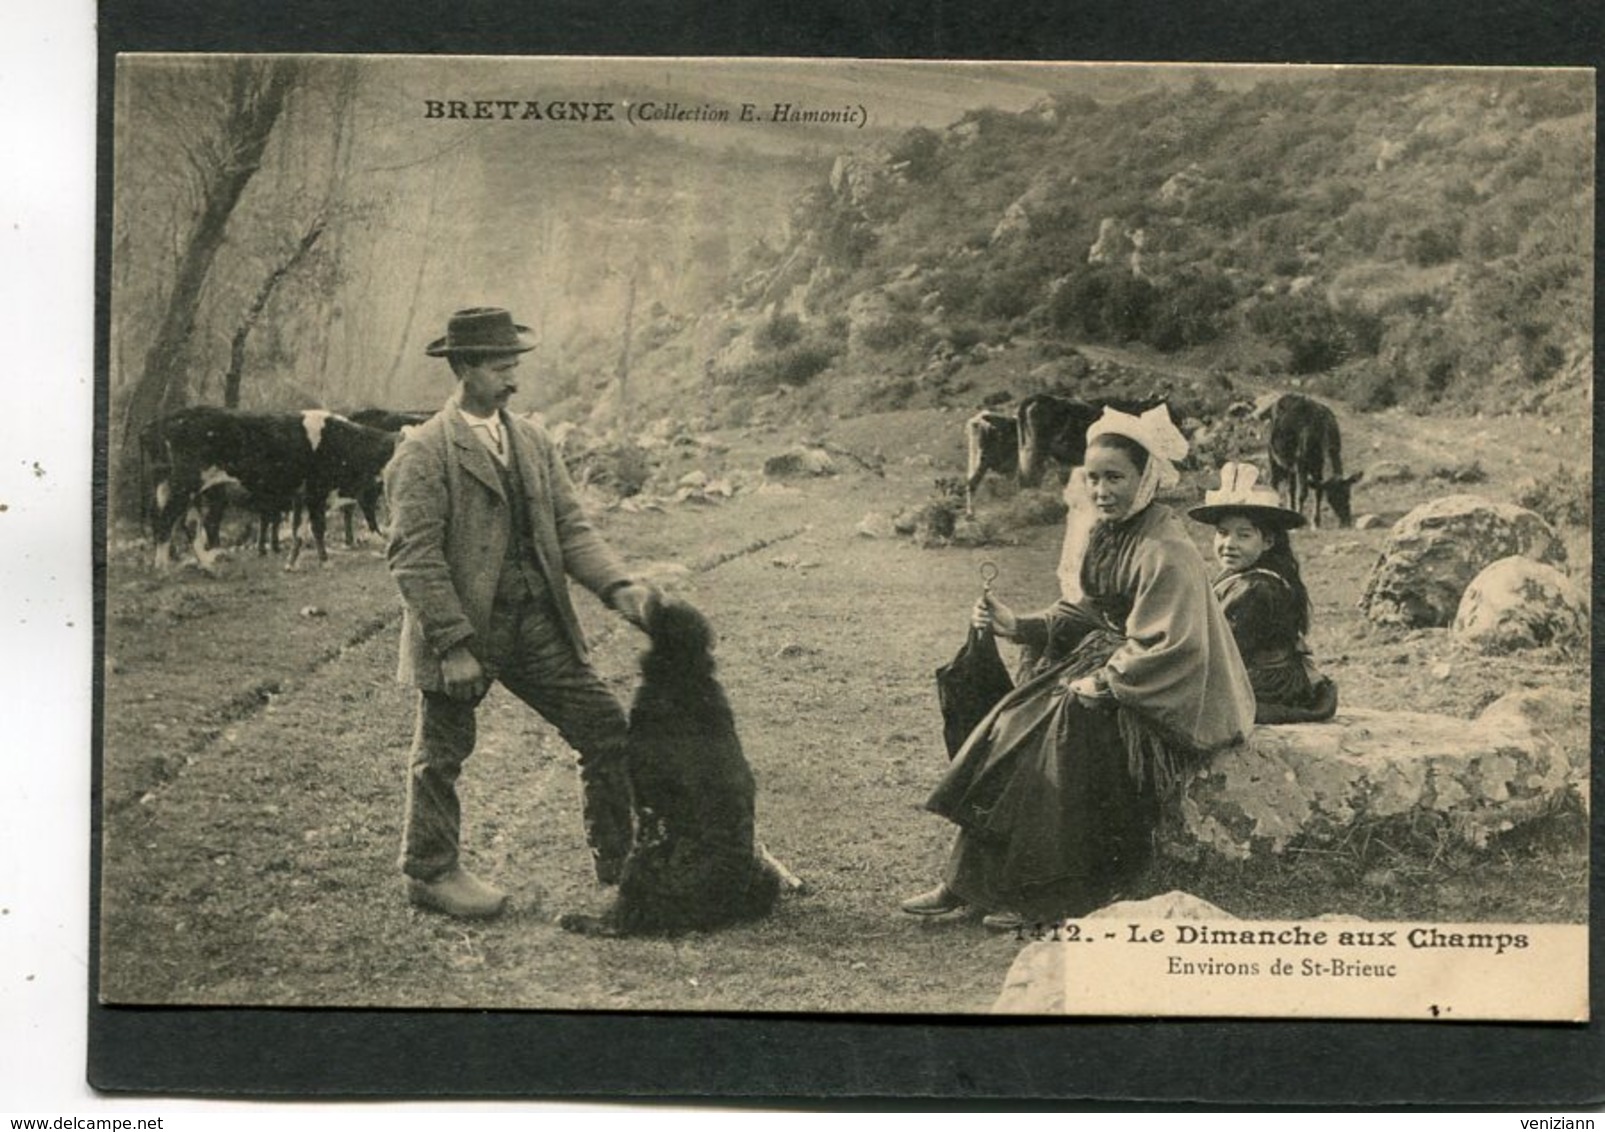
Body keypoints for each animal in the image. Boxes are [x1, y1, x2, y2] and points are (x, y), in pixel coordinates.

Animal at [561, 597, 799, 931]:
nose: (643, 598)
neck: (685, 675)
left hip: (642, 859)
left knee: (621, 919)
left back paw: (577, 919)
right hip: (764, 872)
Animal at [1264, 390, 1354, 526]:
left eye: (1348, 494)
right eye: (1332, 498)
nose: (1346, 521)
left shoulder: (1318, 464)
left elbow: (1318, 490)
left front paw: (1316, 521)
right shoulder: (1301, 463)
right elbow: (1303, 493)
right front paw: (1302, 517)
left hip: (1290, 463)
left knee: (1291, 488)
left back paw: (1290, 509)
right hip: (1273, 454)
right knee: (1273, 482)